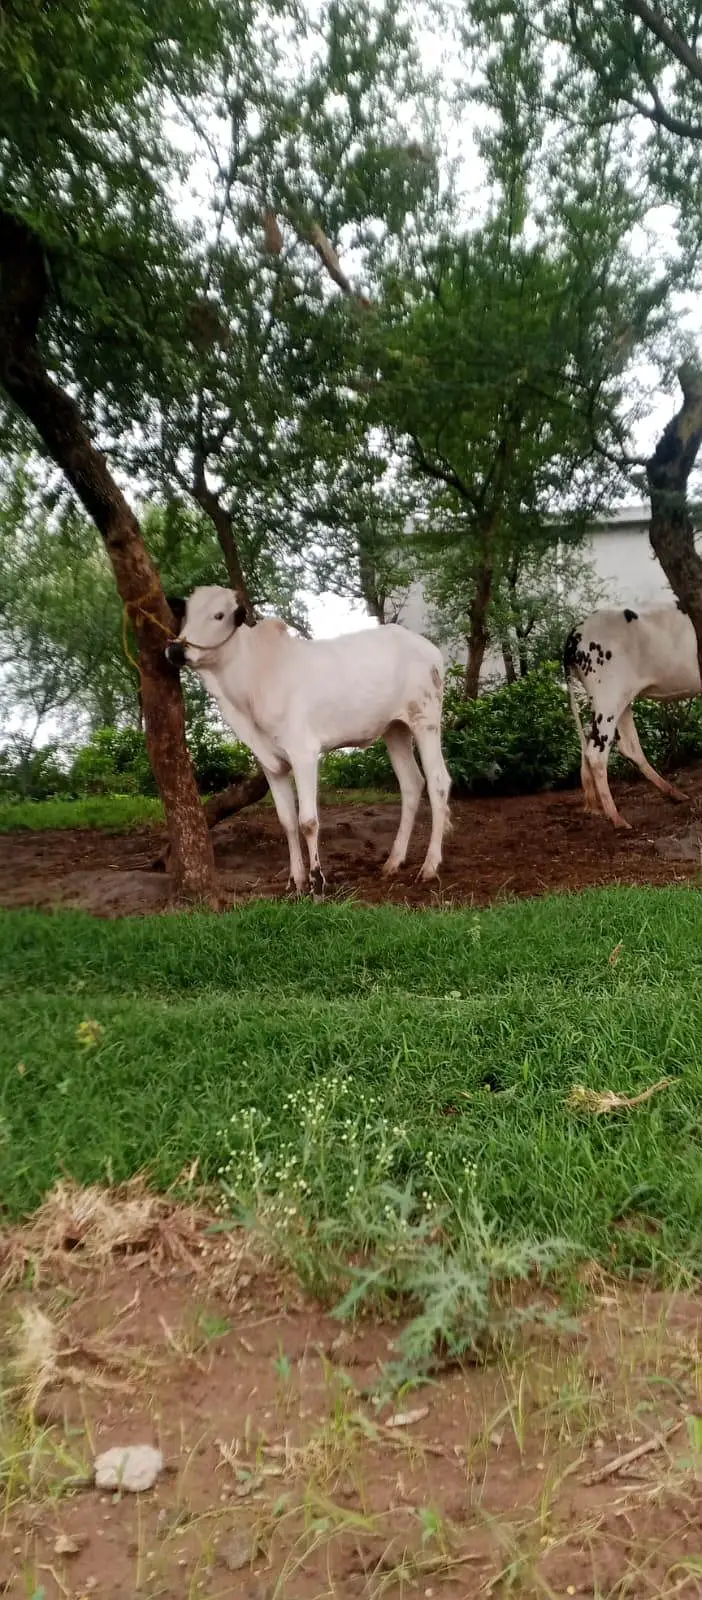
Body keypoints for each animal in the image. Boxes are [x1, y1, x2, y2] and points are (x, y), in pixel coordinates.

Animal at [165, 586, 451, 891]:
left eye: (219, 615)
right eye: (185, 614)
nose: (176, 649)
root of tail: (426, 646)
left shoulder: (304, 754)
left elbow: (308, 821)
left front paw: (317, 880)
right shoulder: (271, 764)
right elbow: (287, 821)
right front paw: (296, 881)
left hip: (425, 721)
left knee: (437, 782)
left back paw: (429, 866)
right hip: (394, 729)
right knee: (411, 783)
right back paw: (394, 862)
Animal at [564, 604, 697, 829]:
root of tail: (575, 631)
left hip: (622, 700)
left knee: (629, 747)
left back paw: (674, 793)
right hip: (608, 696)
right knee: (596, 752)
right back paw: (617, 818)